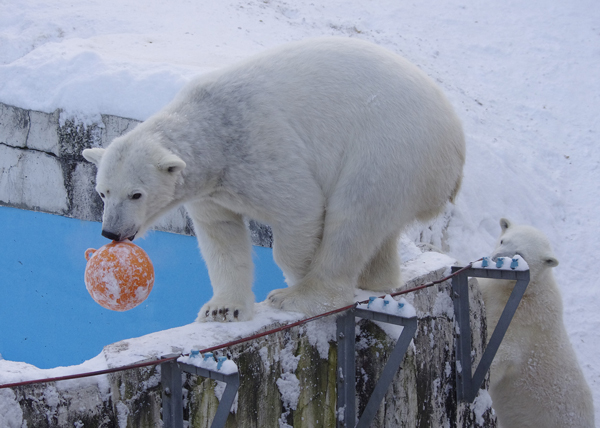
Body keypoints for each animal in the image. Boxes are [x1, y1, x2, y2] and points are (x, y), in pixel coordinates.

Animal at [81, 37, 464, 320]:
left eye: (136, 194)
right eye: (102, 192)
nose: (111, 232)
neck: (216, 131)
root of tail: (455, 139)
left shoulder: (262, 149)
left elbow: (299, 208)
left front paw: (296, 279)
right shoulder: (210, 190)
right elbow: (221, 234)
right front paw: (223, 309)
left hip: (391, 146)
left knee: (354, 212)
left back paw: (303, 296)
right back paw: (378, 279)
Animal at [478, 221, 596, 428]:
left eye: (519, 254)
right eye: (502, 240)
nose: (495, 258)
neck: (529, 291)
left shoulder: (523, 319)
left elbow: (501, 352)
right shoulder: (494, 290)